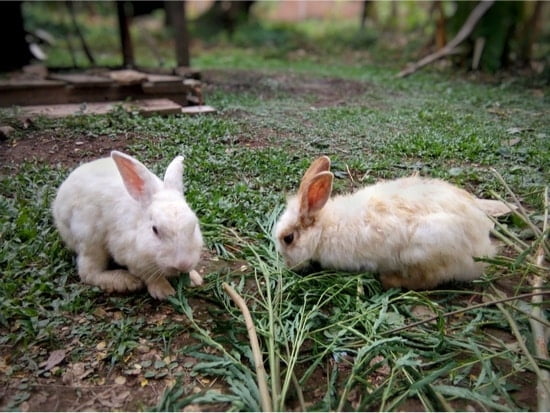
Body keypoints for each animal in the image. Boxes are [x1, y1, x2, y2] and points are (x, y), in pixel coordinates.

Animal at [53, 150, 205, 298]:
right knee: (88, 273)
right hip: (89, 241)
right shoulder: (132, 256)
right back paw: (126, 281)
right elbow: (150, 276)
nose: (183, 264)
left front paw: (194, 278)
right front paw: (164, 291)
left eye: (193, 226)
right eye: (155, 230)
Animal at [274, 155, 502, 290]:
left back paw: (388, 279)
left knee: (425, 281)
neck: (323, 229)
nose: (289, 266)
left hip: (424, 251)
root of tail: (482, 247)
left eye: (288, 238)